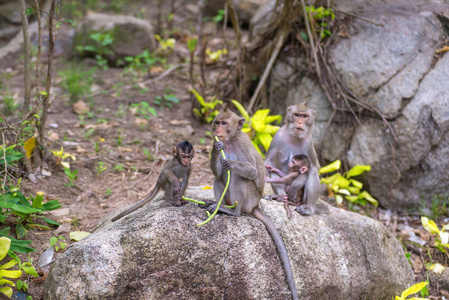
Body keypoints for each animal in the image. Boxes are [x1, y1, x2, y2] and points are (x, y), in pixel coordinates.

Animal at [206, 108, 298, 300]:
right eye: (217, 122)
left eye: (224, 123)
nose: (217, 130)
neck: (230, 141)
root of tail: (255, 205)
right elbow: (217, 172)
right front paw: (216, 147)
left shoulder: (242, 143)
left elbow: (252, 171)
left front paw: (232, 162)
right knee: (219, 177)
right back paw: (218, 204)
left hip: (249, 199)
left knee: (238, 177)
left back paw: (233, 211)